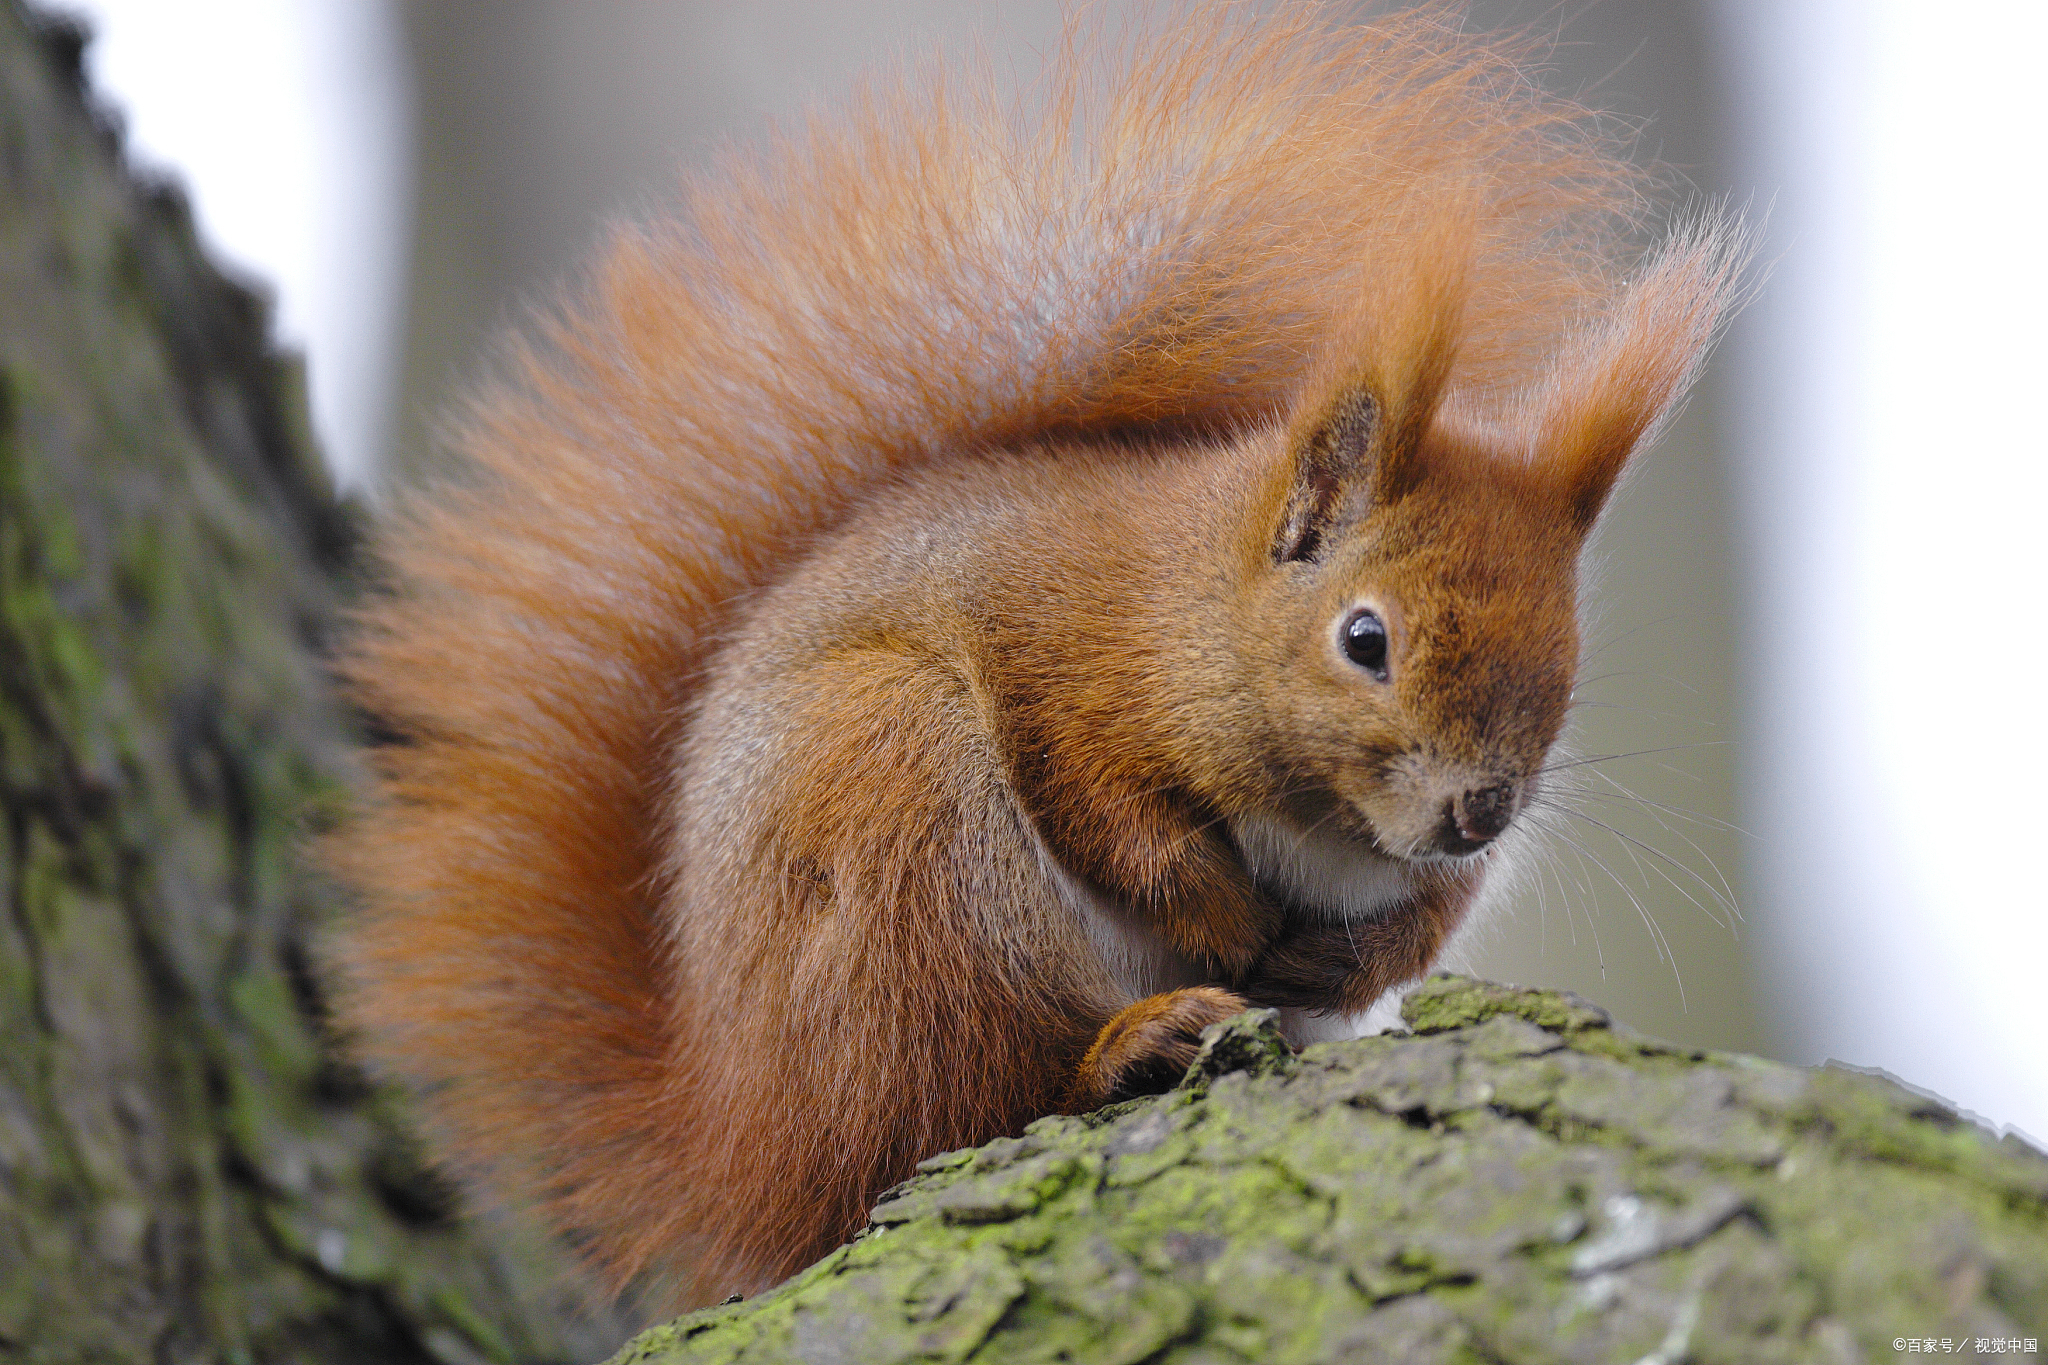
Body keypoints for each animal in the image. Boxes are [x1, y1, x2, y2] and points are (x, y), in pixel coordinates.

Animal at [331, 2, 1744, 1309]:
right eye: (1364, 639)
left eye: (1567, 661)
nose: (1476, 810)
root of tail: (733, 1143)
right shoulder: (1065, 655)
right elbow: (1108, 811)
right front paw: (1218, 914)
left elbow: (1421, 924)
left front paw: (1337, 957)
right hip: (902, 826)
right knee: (964, 1103)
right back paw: (1128, 1043)